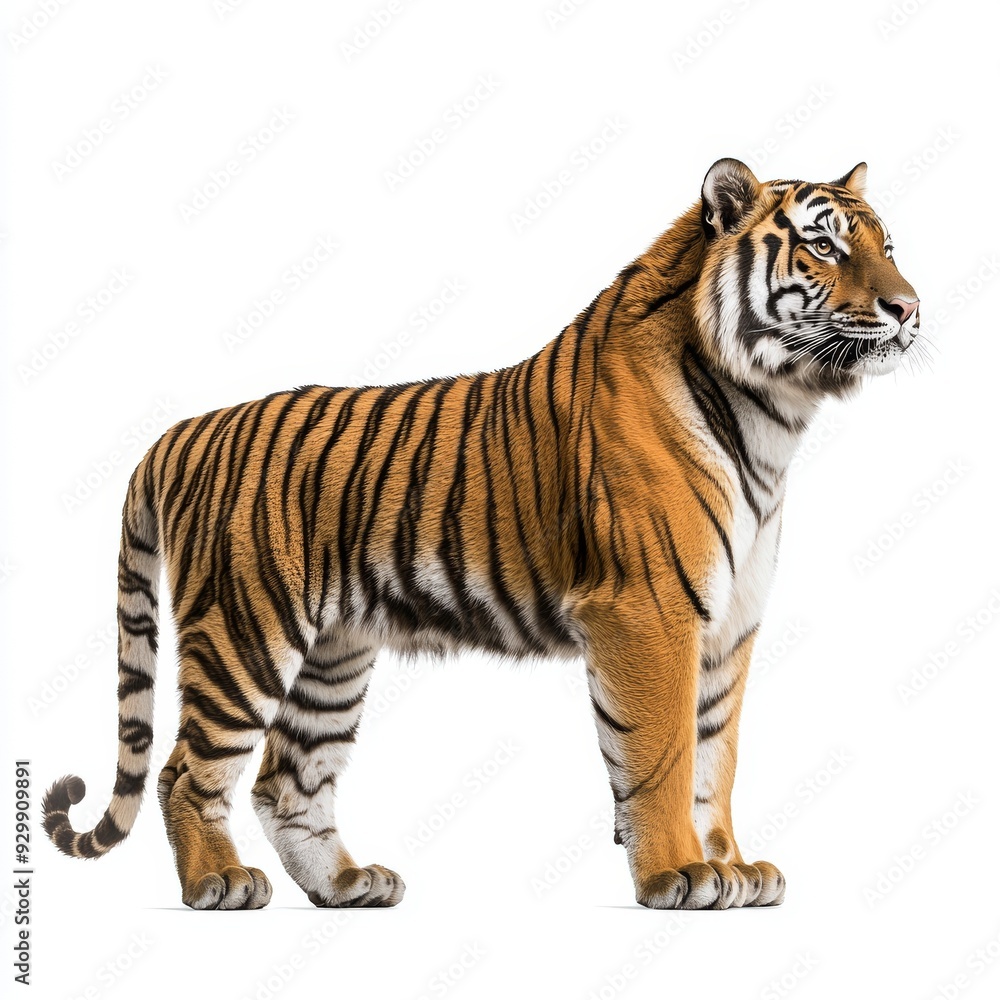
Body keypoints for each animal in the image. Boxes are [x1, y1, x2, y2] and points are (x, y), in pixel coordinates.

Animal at [43, 158, 921, 910]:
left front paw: (733, 867)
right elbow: (664, 755)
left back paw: (348, 885)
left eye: (887, 245)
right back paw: (218, 883)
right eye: (823, 244)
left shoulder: (730, 625)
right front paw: (681, 873)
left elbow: (715, 756)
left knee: (286, 780)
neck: (771, 413)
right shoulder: (649, 611)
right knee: (186, 771)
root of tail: (184, 430)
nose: (909, 308)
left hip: (333, 654)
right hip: (244, 633)